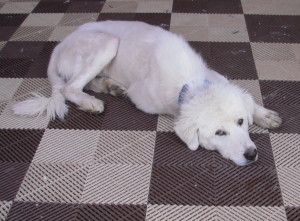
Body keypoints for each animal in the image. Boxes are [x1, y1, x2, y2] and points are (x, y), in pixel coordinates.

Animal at [12, 20, 282, 166]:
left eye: (241, 122)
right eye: (219, 133)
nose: (251, 154)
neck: (189, 82)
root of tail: (59, 44)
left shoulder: (213, 75)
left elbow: (248, 99)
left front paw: (264, 114)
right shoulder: (143, 98)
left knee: (83, 83)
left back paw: (108, 86)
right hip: (107, 43)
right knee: (69, 87)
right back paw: (91, 102)